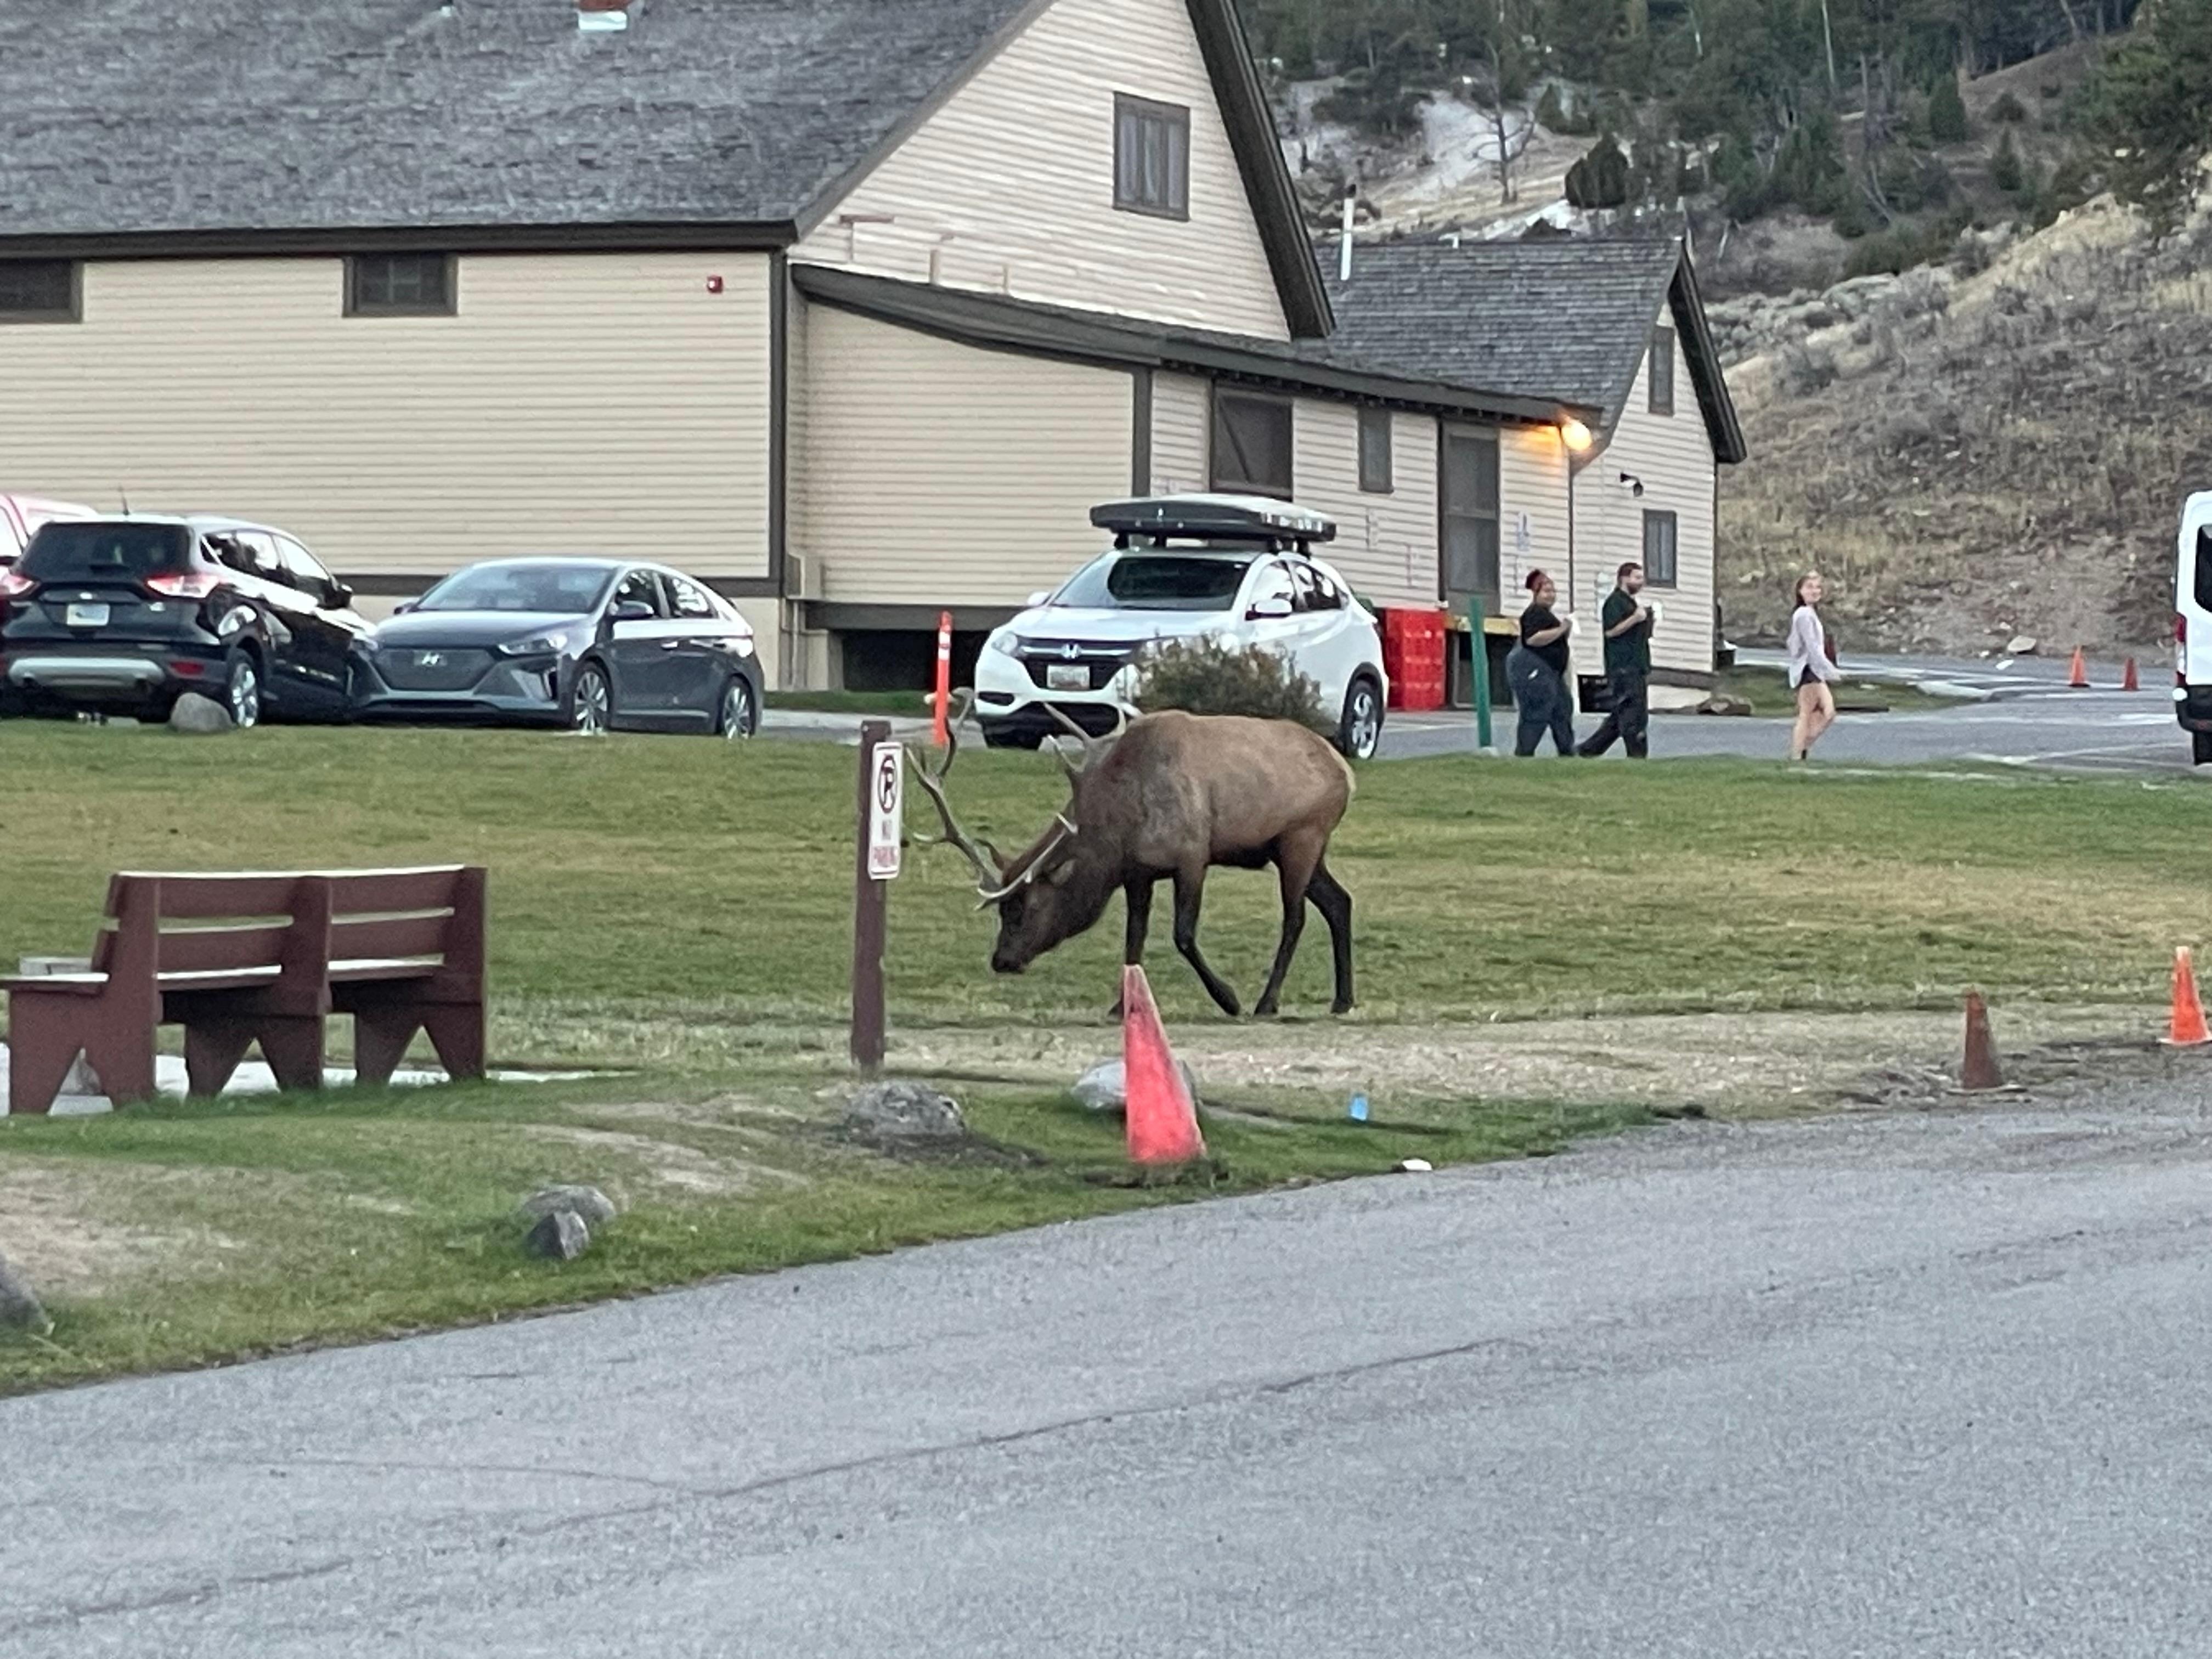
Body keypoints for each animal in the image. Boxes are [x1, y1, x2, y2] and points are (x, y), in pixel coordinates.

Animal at [907, 696, 1356, 1018]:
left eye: (1025, 907)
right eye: (1003, 910)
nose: (1001, 960)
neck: (1118, 833)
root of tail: (1345, 771)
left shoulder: (1192, 855)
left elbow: (1183, 934)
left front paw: (1228, 999)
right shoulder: (1138, 873)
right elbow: (1133, 940)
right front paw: (1120, 1006)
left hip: (1303, 835)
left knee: (1295, 918)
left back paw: (1267, 1002)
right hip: (1299, 849)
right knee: (1340, 902)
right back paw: (1343, 999)